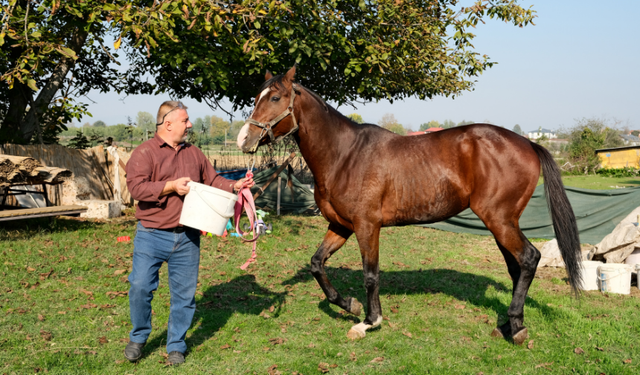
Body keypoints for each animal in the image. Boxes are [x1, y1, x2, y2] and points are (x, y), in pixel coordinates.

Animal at [238, 67, 584, 344]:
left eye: (275, 97)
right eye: (257, 96)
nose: (244, 139)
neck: (344, 154)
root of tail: (528, 143)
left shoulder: (367, 226)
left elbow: (371, 275)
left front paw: (369, 321)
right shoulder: (340, 226)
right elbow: (316, 264)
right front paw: (349, 304)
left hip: (499, 219)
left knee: (529, 258)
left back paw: (516, 327)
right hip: (502, 223)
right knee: (517, 267)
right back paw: (509, 325)